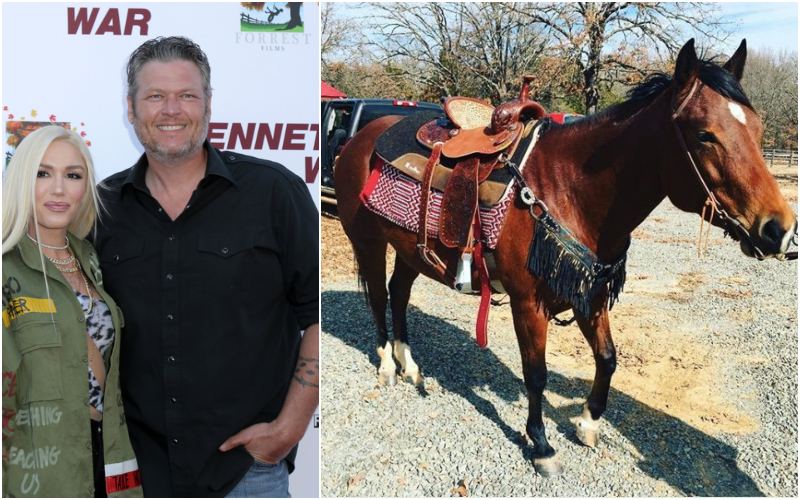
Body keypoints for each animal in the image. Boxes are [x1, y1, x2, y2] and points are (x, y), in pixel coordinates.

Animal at [334, 40, 796, 476]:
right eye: (704, 134)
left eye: (758, 129)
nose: (779, 229)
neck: (569, 189)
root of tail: (361, 137)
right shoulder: (528, 303)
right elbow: (536, 374)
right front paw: (541, 444)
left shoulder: (591, 292)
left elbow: (608, 358)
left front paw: (588, 423)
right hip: (369, 241)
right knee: (378, 297)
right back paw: (387, 366)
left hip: (411, 250)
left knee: (398, 294)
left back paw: (410, 365)